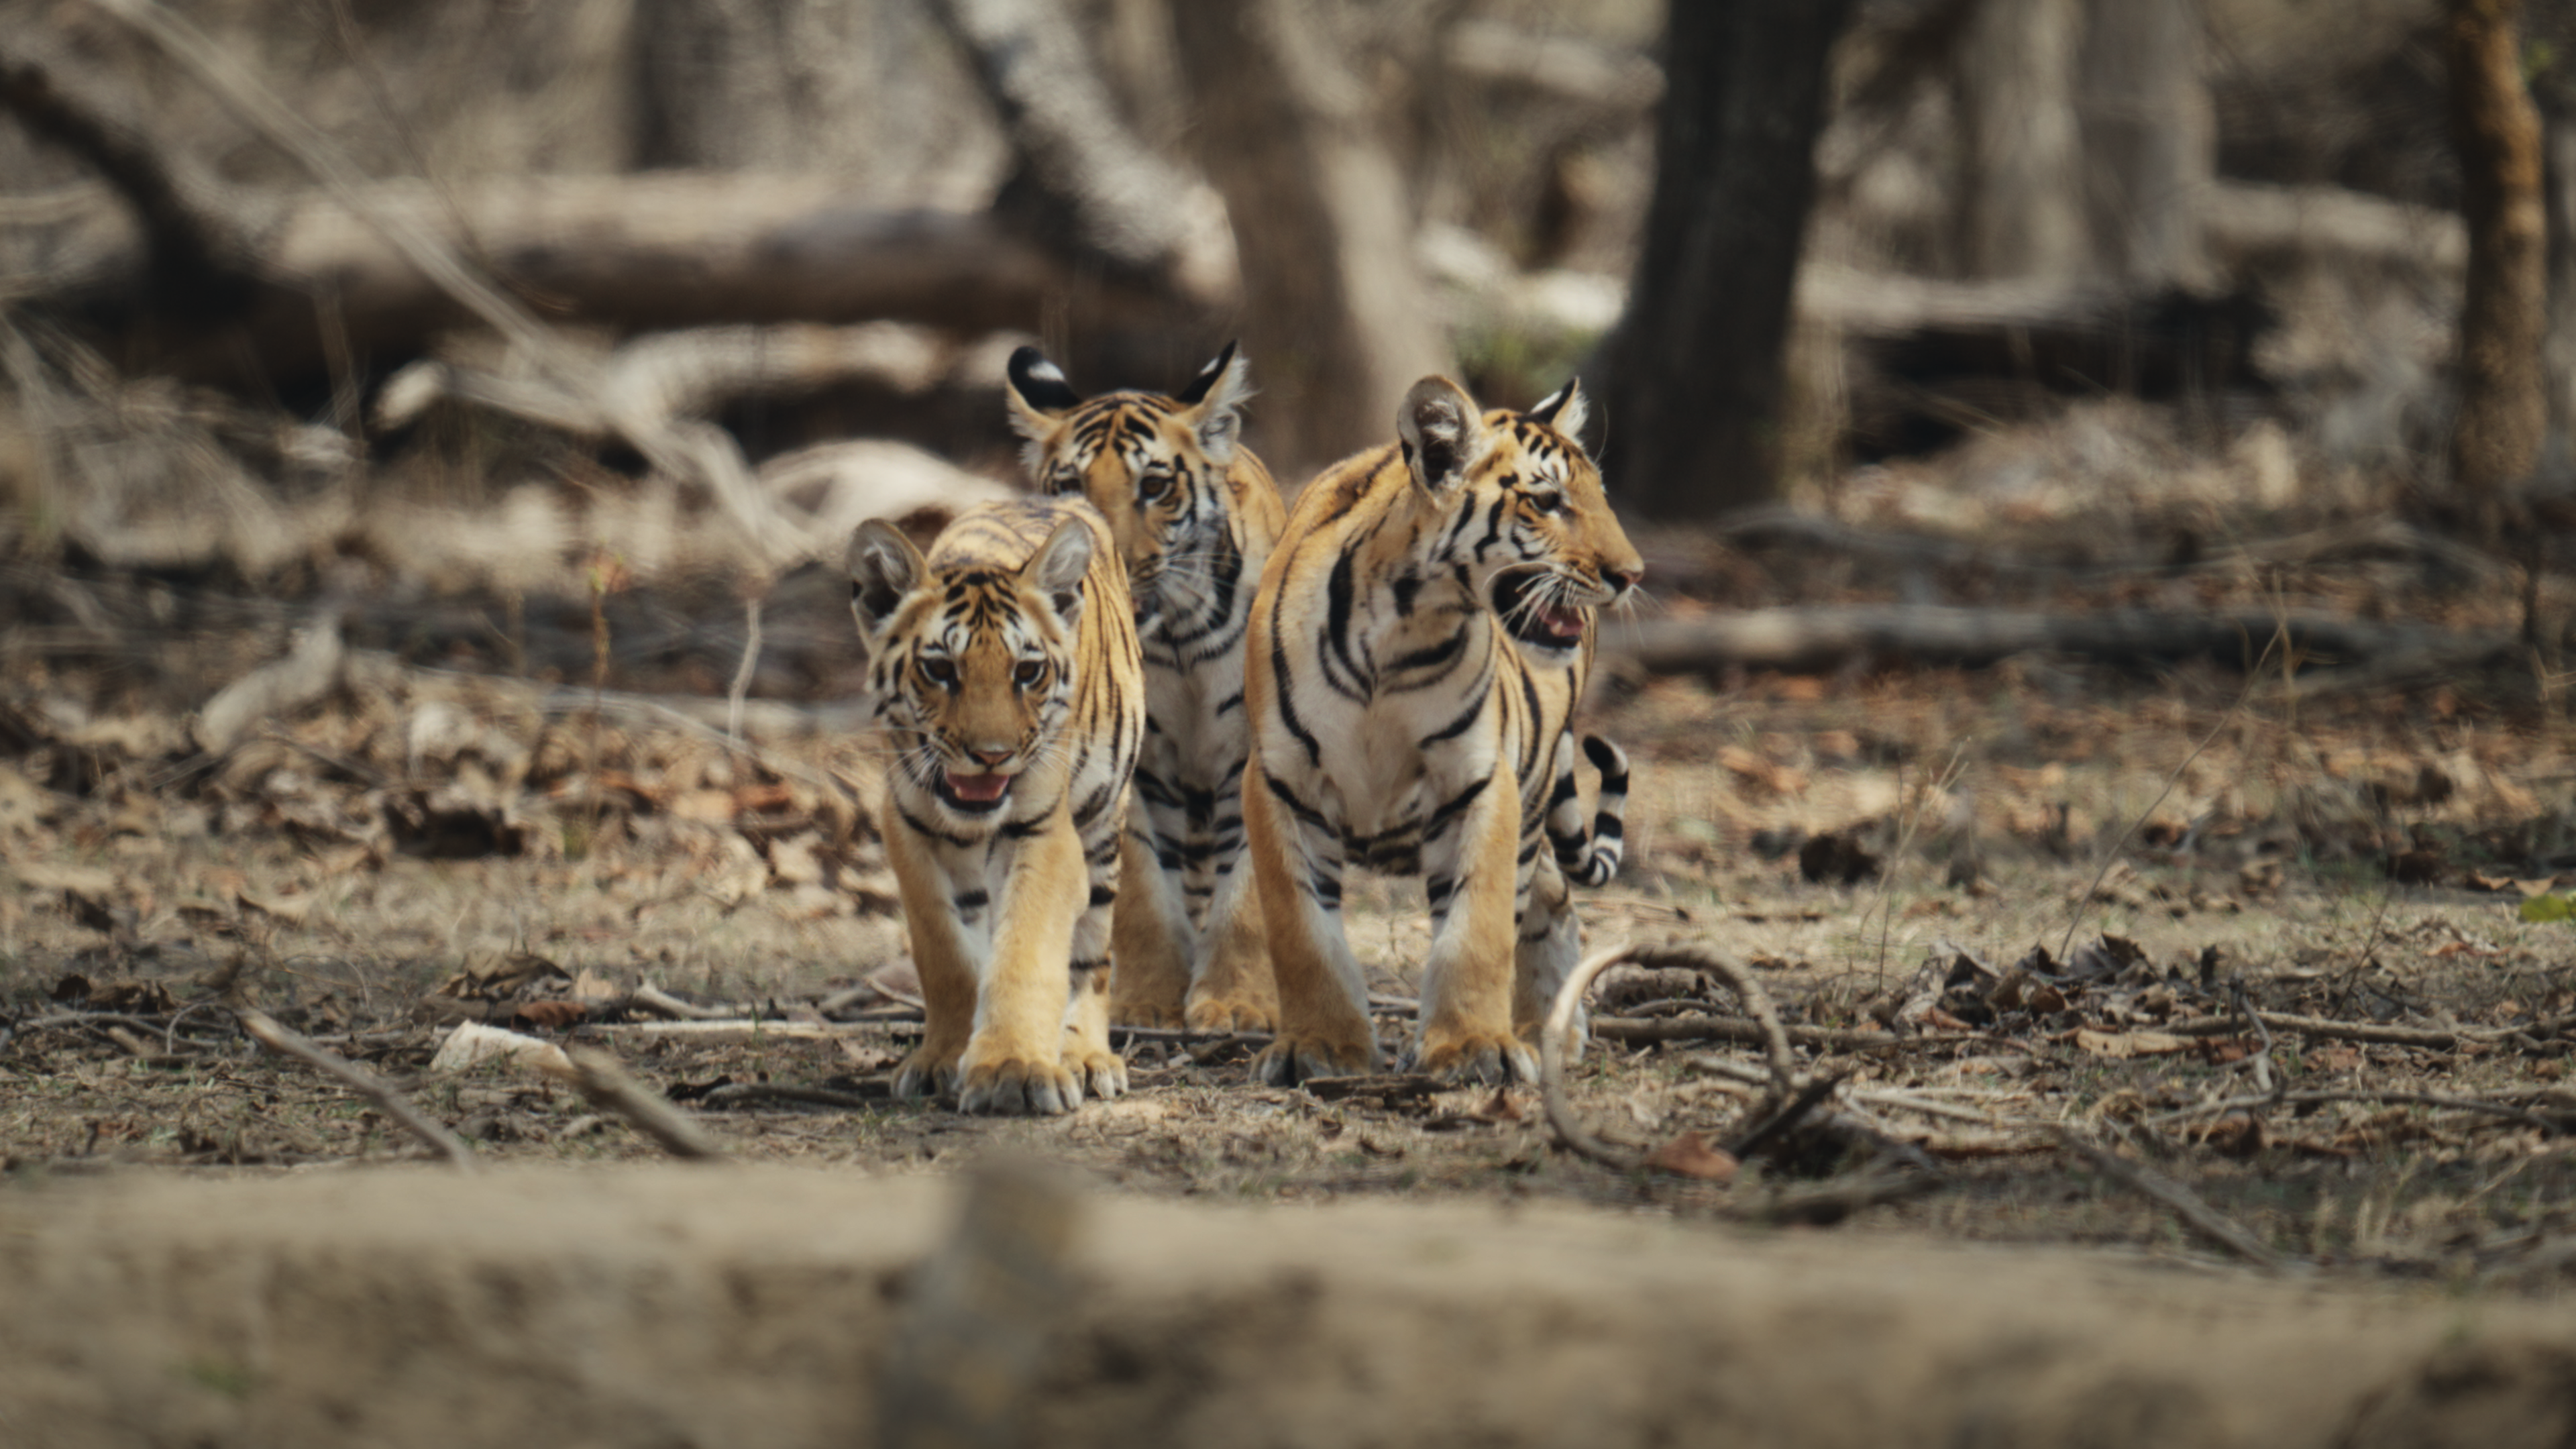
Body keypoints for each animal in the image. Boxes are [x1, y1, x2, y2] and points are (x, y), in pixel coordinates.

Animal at [845, 496, 1145, 1115]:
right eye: (939, 669)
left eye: (1027, 671)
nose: (992, 755)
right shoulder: (907, 828)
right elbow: (945, 954)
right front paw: (942, 1060)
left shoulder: (1043, 833)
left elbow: (1027, 950)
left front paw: (1015, 1068)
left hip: (1103, 830)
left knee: (1091, 959)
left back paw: (1085, 1056)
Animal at [1006, 342, 1286, 1033]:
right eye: (1072, 486)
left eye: (1155, 487)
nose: (1109, 560)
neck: (1179, 638)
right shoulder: (1123, 762)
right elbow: (1139, 886)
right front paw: (1149, 999)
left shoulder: (1255, 754)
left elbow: (1245, 891)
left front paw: (1236, 1001)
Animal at [1242, 374, 1642, 1086]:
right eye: (1548, 502)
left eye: (1600, 497)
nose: (1632, 576)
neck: (1401, 627)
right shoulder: (1282, 782)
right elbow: (1301, 927)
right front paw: (1321, 1046)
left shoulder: (1476, 782)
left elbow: (1476, 927)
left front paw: (1472, 1047)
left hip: (1532, 791)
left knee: (1546, 897)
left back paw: (1543, 1031)